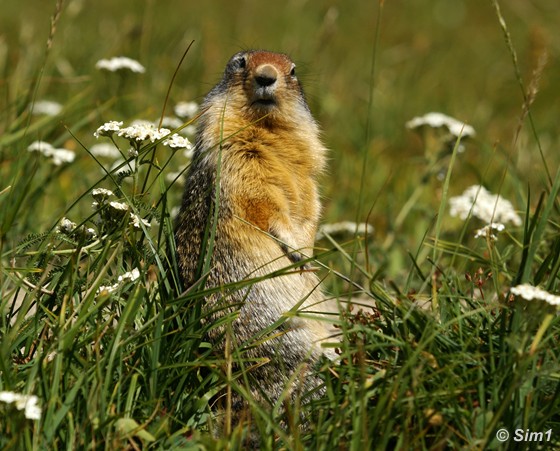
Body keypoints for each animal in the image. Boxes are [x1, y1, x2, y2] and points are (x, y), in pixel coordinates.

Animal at [174, 50, 336, 416]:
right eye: (241, 62)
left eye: (293, 70)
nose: (266, 76)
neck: (265, 127)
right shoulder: (236, 159)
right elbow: (263, 201)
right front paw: (295, 248)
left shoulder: (307, 173)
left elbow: (310, 204)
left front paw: (306, 250)